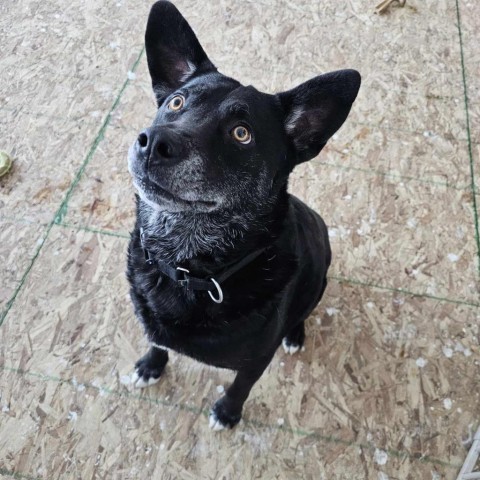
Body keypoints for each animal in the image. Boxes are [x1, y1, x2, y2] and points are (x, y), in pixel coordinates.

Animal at [127, 0, 360, 428]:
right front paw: (151, 366)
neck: (188, 266)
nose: (153, 143)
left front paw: (227, 413)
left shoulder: (256, 361)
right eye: (176, 103)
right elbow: (156, 342)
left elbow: (240, 387)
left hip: (318, 281)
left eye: (241, 133)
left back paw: (295, 334)